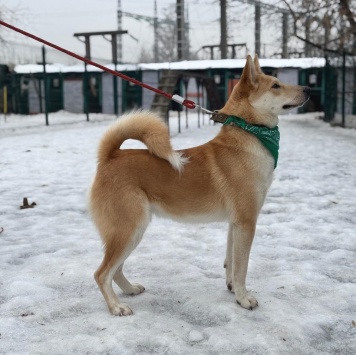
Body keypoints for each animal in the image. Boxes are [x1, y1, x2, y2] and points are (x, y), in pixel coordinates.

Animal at [90, 55, 310, 318]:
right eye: (276, 85)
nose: (308, 90)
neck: (249, 135)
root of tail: (110, 157)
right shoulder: (247, 222)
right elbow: (242, 267)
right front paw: (243, 299)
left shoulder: (235, 224)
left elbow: (230, 262)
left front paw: (232, 289)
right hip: (130, 229)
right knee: (102, 273)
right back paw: (116, 307)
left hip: (131, 232)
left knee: (116, 270)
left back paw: (130, 290)